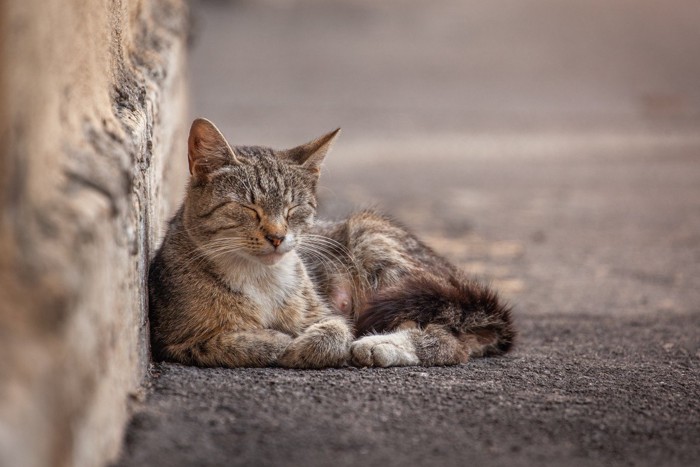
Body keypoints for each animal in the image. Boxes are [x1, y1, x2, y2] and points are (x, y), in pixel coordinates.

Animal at [149, 117, 516, 370]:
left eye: (294, 209)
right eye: (248, 208)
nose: (277, 236)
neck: (260, 277)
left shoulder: (329, 314)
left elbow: (335, 333)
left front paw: (300, 347)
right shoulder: (174, 339)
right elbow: (229, 343)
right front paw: (276, 342)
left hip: (374, 245)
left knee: (450, 340)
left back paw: (380, 345)